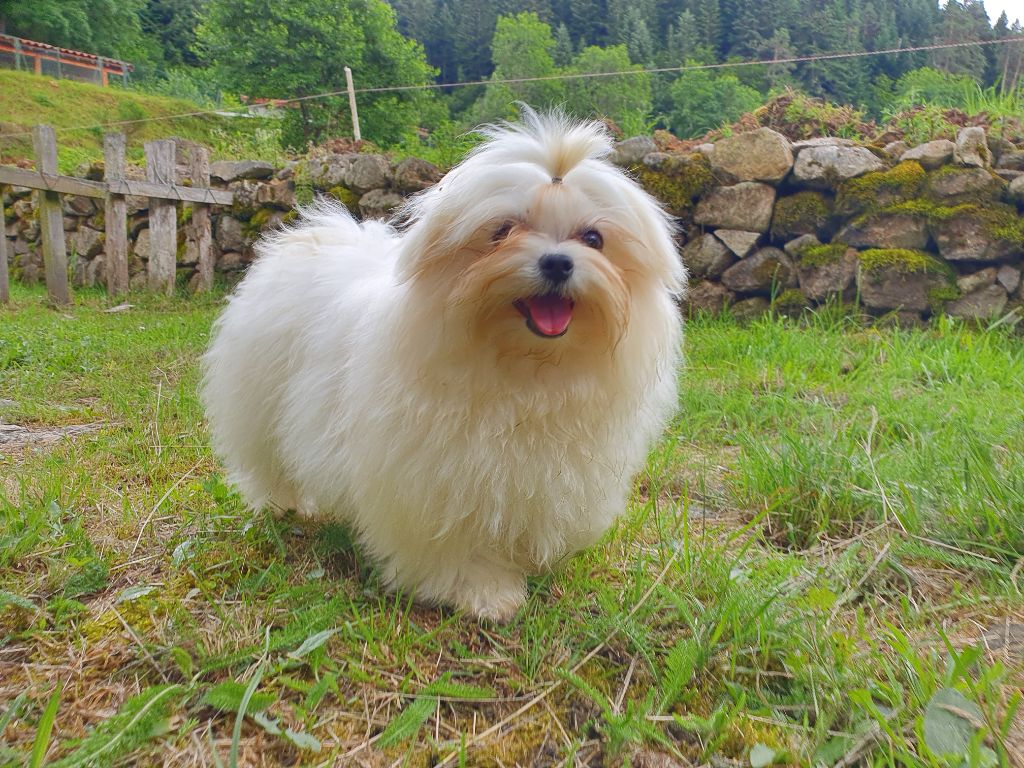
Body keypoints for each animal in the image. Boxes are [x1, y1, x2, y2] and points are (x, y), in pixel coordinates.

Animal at [200, 111, 684, 622]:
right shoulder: (435, 479)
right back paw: (287, 507)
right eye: (502, 231)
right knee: (266, 464)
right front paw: (484, 593)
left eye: (593, 238)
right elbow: (454, 545)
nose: (557, 262)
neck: (522, 368)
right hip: (259, 406)